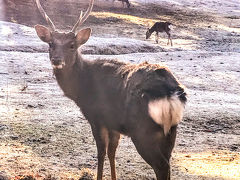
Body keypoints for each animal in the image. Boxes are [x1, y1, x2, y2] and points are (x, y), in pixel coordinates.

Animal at [34, 0, 188, 180]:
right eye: (51, 44)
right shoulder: (113, 123)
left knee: (162, 166)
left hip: (143, 130)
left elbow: (101, 152)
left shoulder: (97, 117)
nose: (57, 60)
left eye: (72, 45)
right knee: (168, 162)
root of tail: (171, 93)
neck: (81, 88)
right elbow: (112, 152)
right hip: (170, 131)